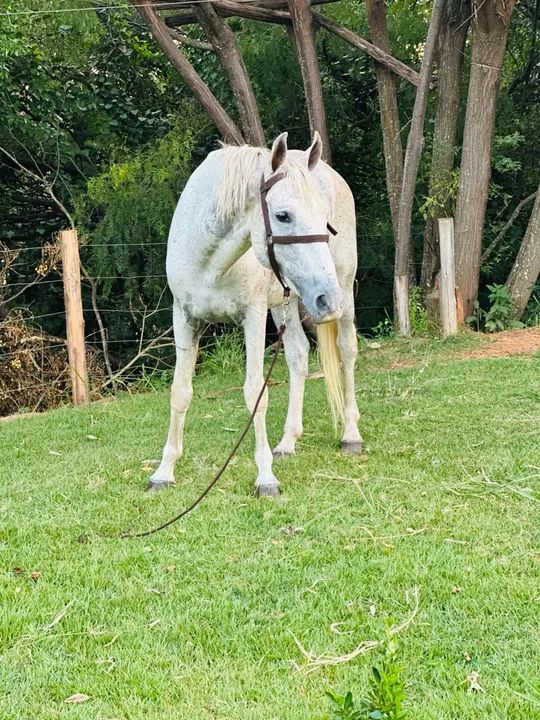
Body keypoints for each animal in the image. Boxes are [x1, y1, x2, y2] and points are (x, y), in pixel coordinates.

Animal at [148, 131, 362, 497]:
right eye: (283, 216)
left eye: (325, 218)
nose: (327, 300)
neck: (210, 263)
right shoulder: (184, 318)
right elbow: (180, 392)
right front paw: (164, 471)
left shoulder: (253, 316)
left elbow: (254, 393)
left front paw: (265, 478)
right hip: (286, 304)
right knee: (298, 357)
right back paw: (288, 442)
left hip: (343, 290)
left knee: (347, 352)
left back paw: (351, 435)